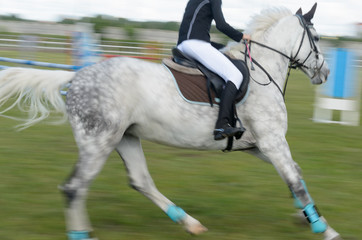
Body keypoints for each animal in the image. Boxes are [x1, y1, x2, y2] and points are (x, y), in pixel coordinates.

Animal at [0, 3, 342, 240]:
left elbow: (295, 174)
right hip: (98, 143)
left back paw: (189, 223)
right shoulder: (272, 141)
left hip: (125, 137)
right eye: (316, 37)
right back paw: (81, 234)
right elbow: (295, 180)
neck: (262, 69)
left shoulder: (258, 144)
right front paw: (324, 229)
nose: (324, 74)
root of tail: (77, 76)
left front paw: (304, 217)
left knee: (140, 180)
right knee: (74, 188)